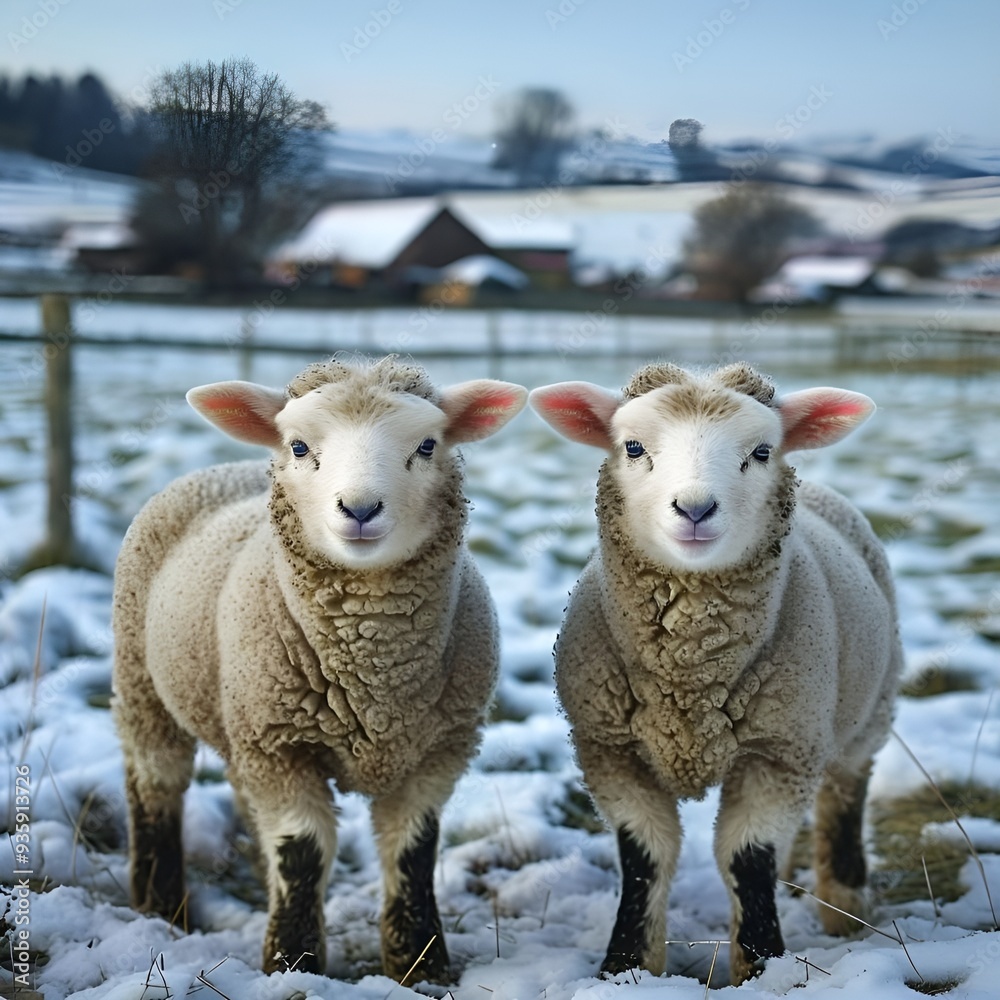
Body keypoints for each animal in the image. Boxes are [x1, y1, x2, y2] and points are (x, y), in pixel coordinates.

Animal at [112, 356, 527, 980]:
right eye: (300, 446)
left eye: (428, 445)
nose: (359, 509)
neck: (375, 674)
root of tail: (230, 467)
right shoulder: (281, 748)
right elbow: (304, 853)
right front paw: (292, 962)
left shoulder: (438, 751)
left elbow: (413, 852)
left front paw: (420, 962)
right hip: (143, 682)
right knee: (154, 785)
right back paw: (160, 903)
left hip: (238, 722)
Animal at [529, 362, 902, 985]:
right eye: (633, 447)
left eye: (761, 450)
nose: (696, 510)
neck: (690, 678)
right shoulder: (611, 751)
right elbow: (644, 857)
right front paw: (626, 966)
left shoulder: (779, 752)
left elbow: (747, 860)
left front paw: (761, 966)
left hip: (868, 714)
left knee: (845, 794)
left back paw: (845, 904)